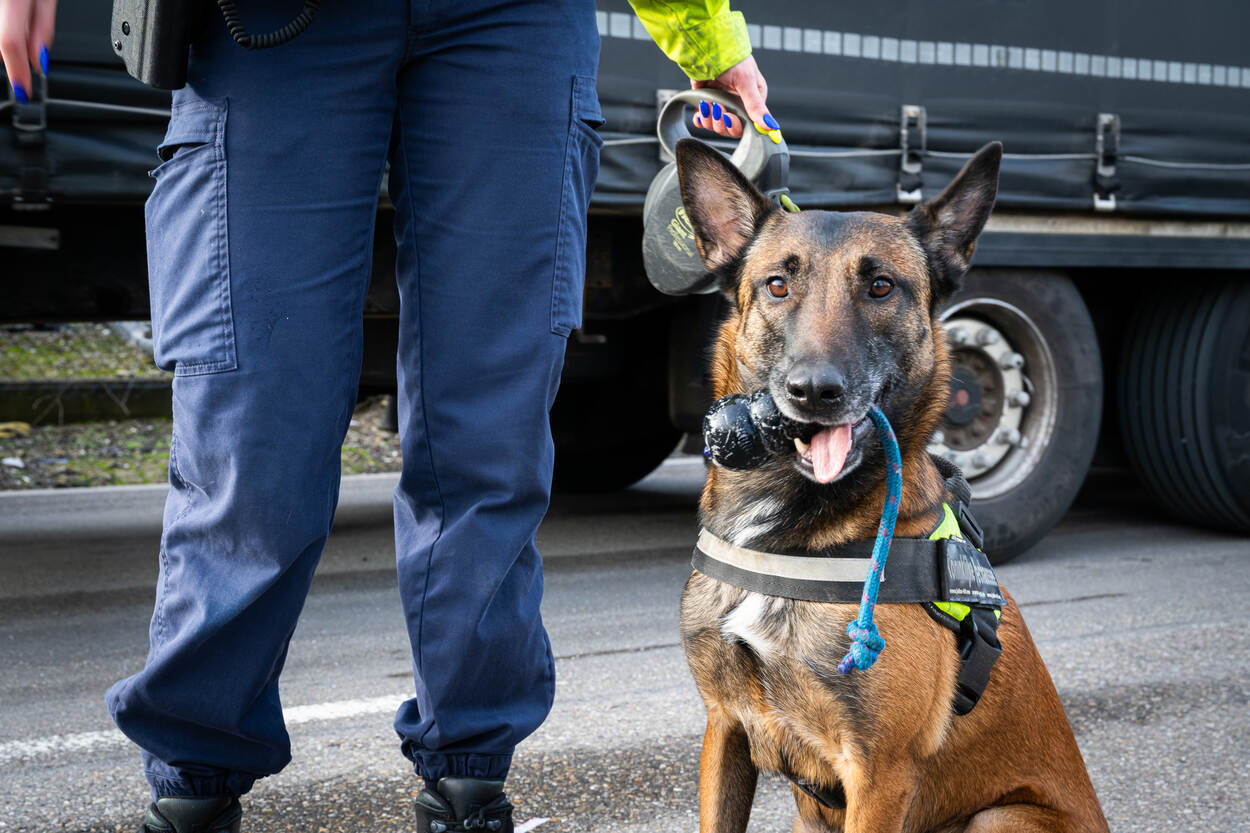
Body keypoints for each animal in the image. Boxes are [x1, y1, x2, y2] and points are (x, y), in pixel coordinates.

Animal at [674, 137, 1109, 833]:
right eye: (777, 285)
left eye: (880, 286)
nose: (814, 391)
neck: (786, 536)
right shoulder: (725, 730)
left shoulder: (879, 774)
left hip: (998, 818)